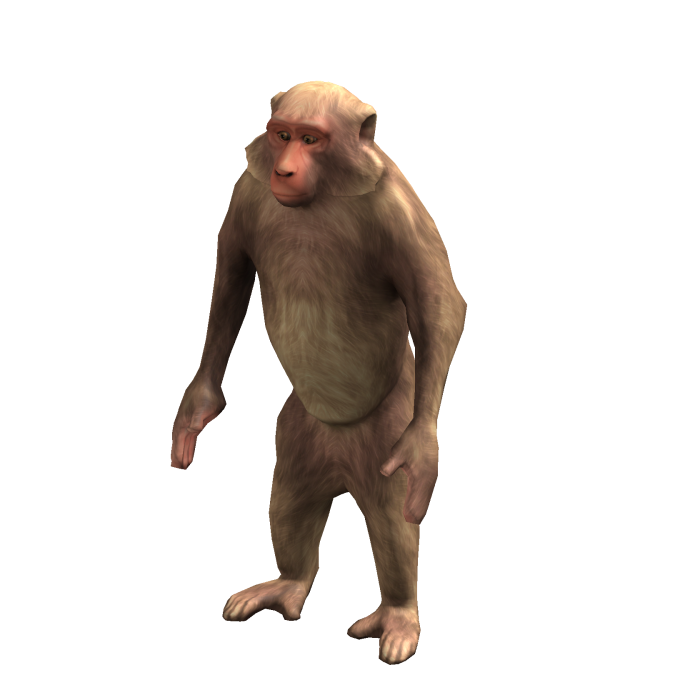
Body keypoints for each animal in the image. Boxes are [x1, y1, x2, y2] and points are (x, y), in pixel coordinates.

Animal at [170, 81, 467, 665]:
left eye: (312, 140)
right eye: (282, 134)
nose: (285, 169)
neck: (323, 193)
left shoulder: (397, 208)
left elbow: (437, 304)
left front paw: (424, 449)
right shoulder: (247, 190)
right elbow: (232, 269)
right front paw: (198, 409)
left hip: (383, 429)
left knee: (392, 524)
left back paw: (398, 615)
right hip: (302, 436)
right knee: (290, 501)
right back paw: (286, 584)